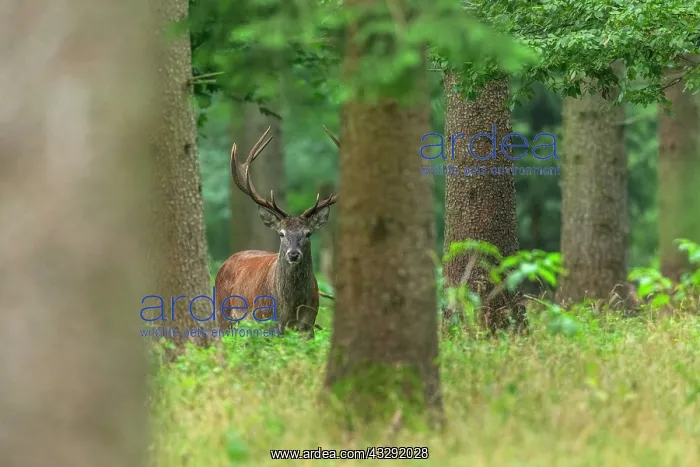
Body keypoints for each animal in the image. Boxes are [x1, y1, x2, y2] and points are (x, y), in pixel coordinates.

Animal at [215, 126, 340, 338]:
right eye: (281, 233)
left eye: (308, 233)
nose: (293, 254)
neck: (291, 308)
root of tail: (225, 263)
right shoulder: (269, 322)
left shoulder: (309, 324)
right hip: (222, 315)